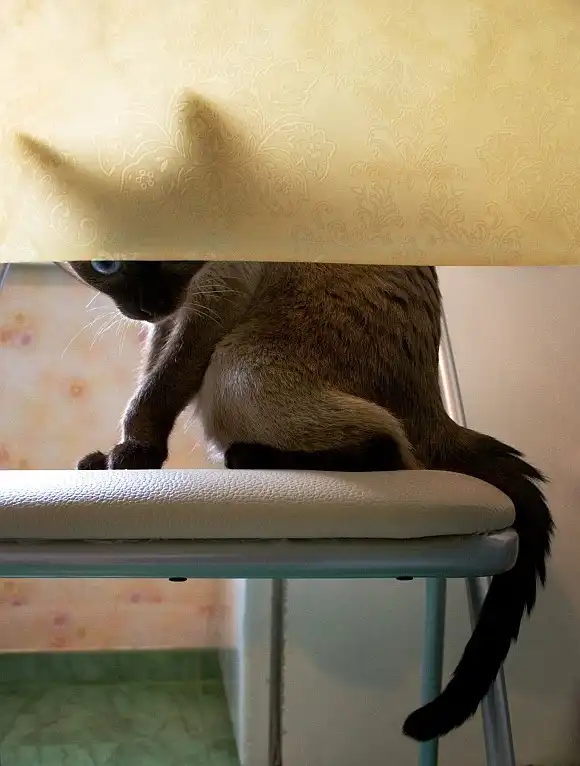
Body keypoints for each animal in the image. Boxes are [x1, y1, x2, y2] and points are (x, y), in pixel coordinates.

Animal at [65, 259, 554, 742]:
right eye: (104, 266)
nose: (145, 309)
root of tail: (437, 412)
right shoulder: (178, 314)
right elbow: (151, 372)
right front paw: (118, 459)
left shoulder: (215, 294)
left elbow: (156, 390)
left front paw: (130, 456)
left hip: (237, 365)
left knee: (388, 447)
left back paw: (245, 458)